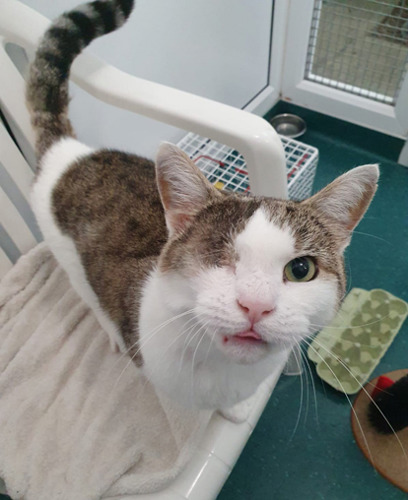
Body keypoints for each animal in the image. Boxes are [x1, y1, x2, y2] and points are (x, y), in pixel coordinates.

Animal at [25, 0, 378, 418]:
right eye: (214, 256)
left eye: (301, 269)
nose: (255, 306)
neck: (222, 368)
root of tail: (71, 152)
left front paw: (235, 411)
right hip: (67, 255)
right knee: (89, 294)